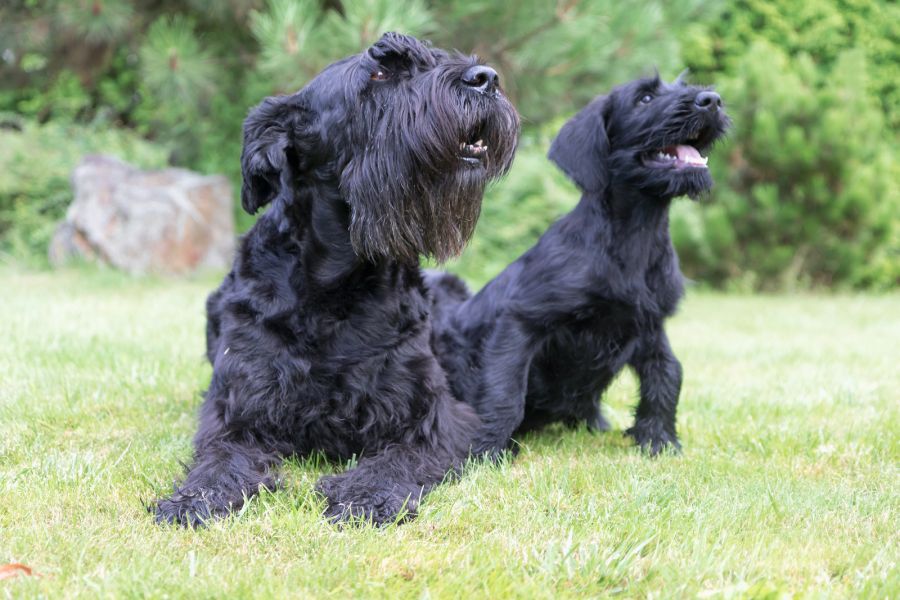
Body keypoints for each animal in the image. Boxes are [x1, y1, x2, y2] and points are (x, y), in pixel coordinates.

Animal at [153, 32, 520, 524]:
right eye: (379, 73)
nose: (487, 79)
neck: (336, 284)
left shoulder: (435, 417)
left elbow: (397, 458)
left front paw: (366, 494)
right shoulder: (238, 409)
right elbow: (220, 457)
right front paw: (194, 497)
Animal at [428, 75, 732, 458]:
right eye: (645, 98)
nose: (713, 100)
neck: (635, 237)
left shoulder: (650, 325)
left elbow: (667, 375)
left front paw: (659, 440)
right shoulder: (522, 321)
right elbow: (505, 389)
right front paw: (486, 448)